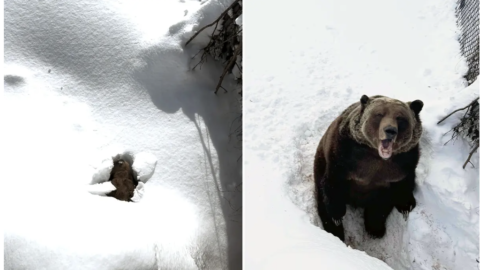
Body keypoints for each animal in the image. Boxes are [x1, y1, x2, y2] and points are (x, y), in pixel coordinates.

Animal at [316, 94, 424, 240]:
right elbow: (333, 185)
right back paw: (335, 233)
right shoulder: (343, 156)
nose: (390, 130)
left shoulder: (401, 167)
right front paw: (337, 216)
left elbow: (385, 202)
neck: (377, 156)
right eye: (379, 114)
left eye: (400, 118)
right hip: (320, 161)